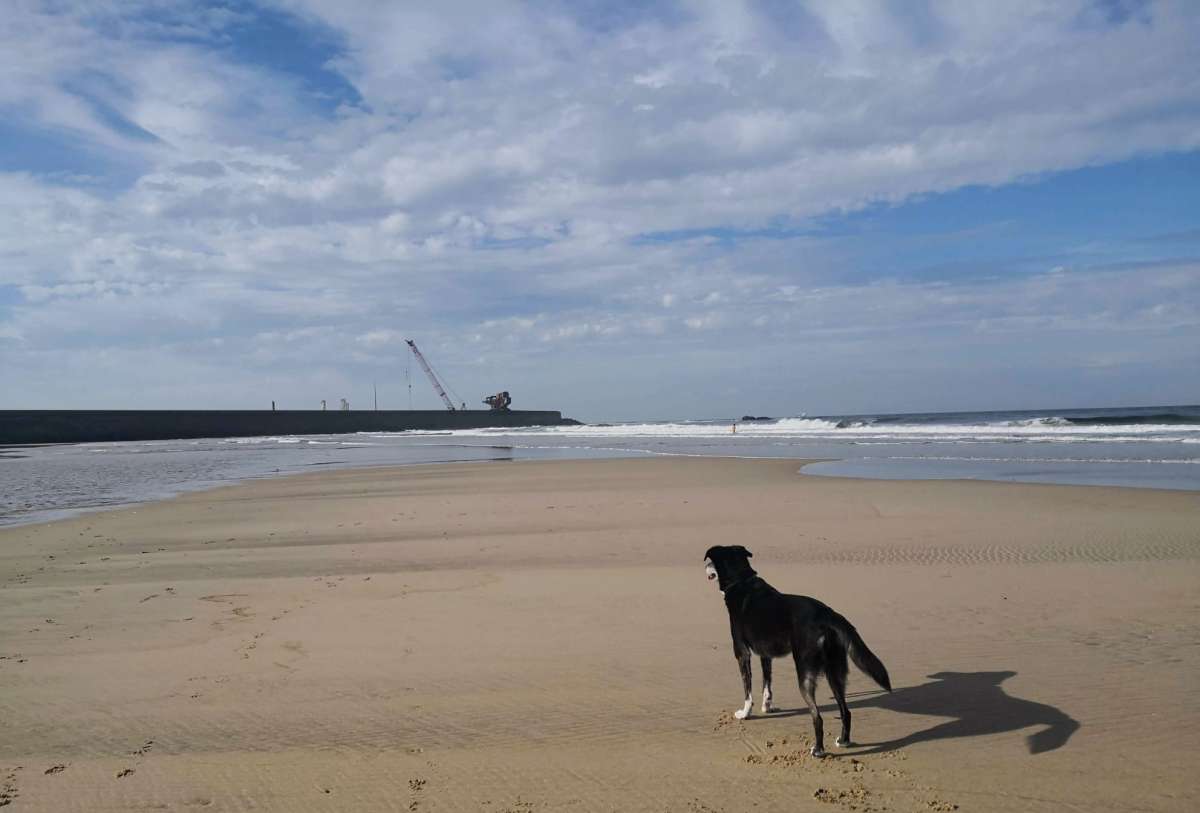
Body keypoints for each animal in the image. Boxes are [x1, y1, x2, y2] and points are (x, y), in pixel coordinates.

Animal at [700, 546, 892, 757]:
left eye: (711, 561)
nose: (705, 567)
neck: (741, 581)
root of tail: (829, 615)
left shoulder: (742, 653)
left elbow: (747, 689)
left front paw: (745, 713)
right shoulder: (766, 655)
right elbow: (767, 685)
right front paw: (767, 707)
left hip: (805, 674)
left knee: (817, 717)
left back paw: (818, 750)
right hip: (834, 673)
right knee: (845, 711)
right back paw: (844, 741)